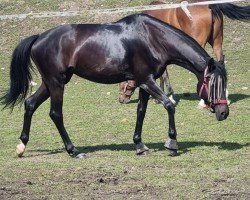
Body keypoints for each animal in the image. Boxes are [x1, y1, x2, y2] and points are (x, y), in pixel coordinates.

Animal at [0, 13, 229, 158]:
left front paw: (139, 145)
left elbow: (141, 112)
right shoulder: (146, 80)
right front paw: (171, 144)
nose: (224, 113)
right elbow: (169, 105)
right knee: (55, 114)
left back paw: (21, 146)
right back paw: (73, 150)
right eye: (213, 84)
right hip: (56, 84)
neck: (152, 38)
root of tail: (39, 38)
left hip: (51, 83)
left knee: (30, 104)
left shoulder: (144, 83)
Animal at [118, 1, 250, 104]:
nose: (121, 100)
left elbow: (164, 75)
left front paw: (166, 96)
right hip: (217, 43)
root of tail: (209, 5)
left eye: (123, 85)